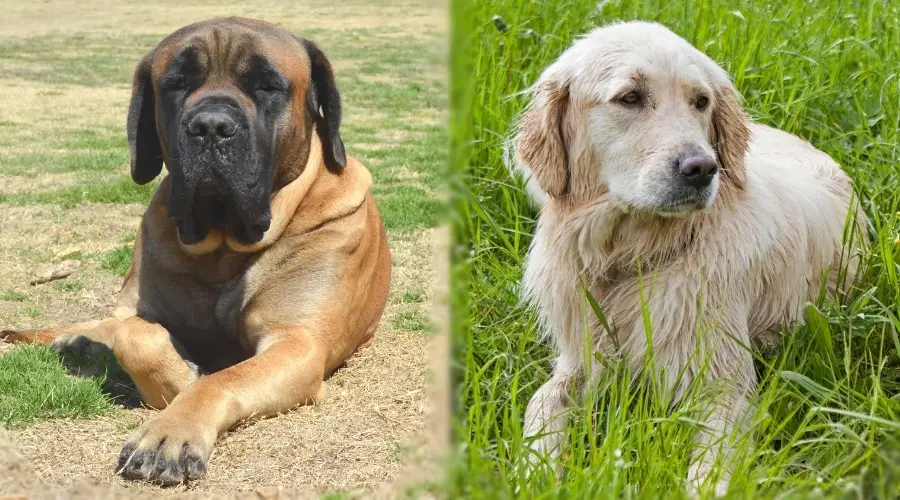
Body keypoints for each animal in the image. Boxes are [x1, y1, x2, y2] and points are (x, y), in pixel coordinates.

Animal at [1, 18, 392, 484]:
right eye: (177, 83)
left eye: (266, 85)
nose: (210, 126)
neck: (222, 247)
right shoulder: (143, 298)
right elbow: (134, 333)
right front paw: (176, 376)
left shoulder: (298, 343)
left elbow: (222, 379)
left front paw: (171, 429)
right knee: (109, 321)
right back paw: (79, 339)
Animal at [506, 20, 864, 496]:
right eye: (630, 97)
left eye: (701, 101)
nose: (702, 168)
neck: (630, 259)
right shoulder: (579, 360)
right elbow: (541, 403)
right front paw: (538, 473)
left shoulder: (724, 388)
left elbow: (709, 472)